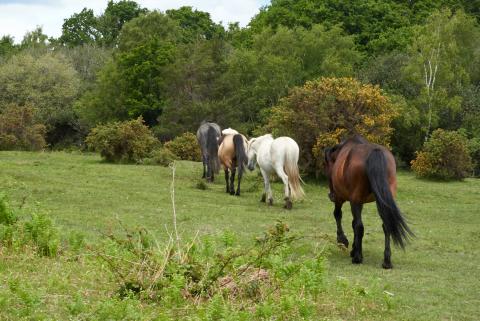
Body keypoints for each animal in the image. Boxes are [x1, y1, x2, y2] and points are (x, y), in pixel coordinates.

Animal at [324, 135, 414, 268]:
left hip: (354, 200)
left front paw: (343, 241)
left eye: (327, 167)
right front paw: (353, 248)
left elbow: (339, 216)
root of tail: (375, 152)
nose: (331, 195)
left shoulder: (342, 198)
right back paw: (386, 261)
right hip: (381, 200)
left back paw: (357, 257)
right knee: (386, 225)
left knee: (359, 226)